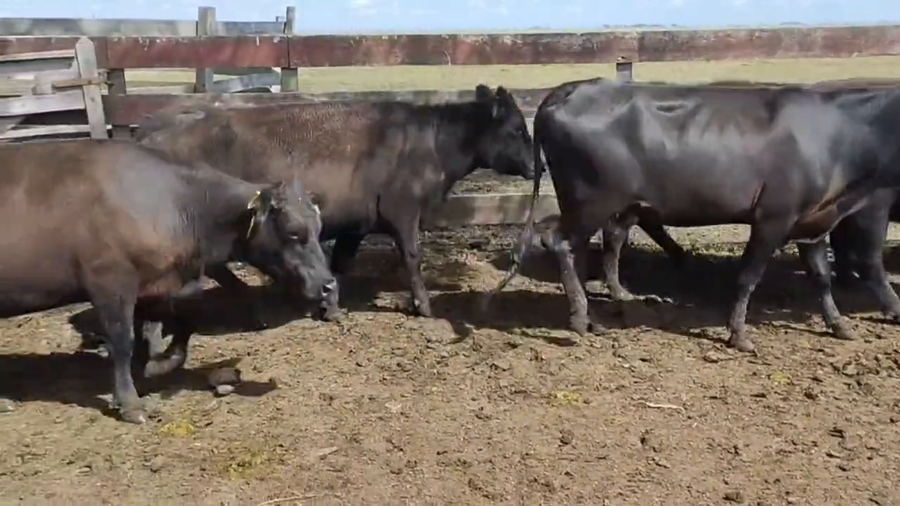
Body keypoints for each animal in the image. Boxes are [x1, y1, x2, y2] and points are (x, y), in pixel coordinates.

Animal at [0, 139, 336, 424]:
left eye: (319, 227)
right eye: (293, 231)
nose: (328, 285)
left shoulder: (155, 284)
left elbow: (183, 322)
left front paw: (159, 364)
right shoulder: (111, 283)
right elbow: (123, 341)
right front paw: (130, 403)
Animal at [133, 84, 535, 321]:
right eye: (516, 129)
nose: (536, 165)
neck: (429, 142)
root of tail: (155, 127)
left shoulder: (357, 223)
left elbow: (340, 262)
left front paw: (331, 303)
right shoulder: (403, 211)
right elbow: (412, 257)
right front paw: (424, 306)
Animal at [488, 77, 900, 353]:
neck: (838, 132)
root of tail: (569, 90)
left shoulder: (813, 220)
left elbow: (821, 277)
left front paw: (838, 324)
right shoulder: (773, 217)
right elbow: (749, 276)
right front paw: (738, 334)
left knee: (583, 243)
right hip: (590, 201)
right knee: (558, 241)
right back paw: (579, 316)